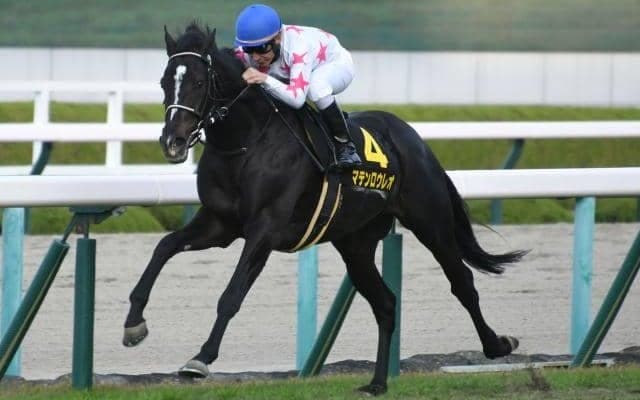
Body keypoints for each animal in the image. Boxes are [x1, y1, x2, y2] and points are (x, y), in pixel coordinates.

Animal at [122, 22, 527, 396]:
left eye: (198, 82)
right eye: (164, 82)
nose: (172, 142)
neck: (246, 142)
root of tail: (414, 139)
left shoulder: (265, 229)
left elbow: (232, 294)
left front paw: (201, 358)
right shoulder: (220, 223)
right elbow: (164, 247)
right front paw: (133, 324)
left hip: (431, 222)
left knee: (462, 282)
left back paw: (498, 344)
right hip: (355, 243)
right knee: (385, 303)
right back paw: (377, 383)